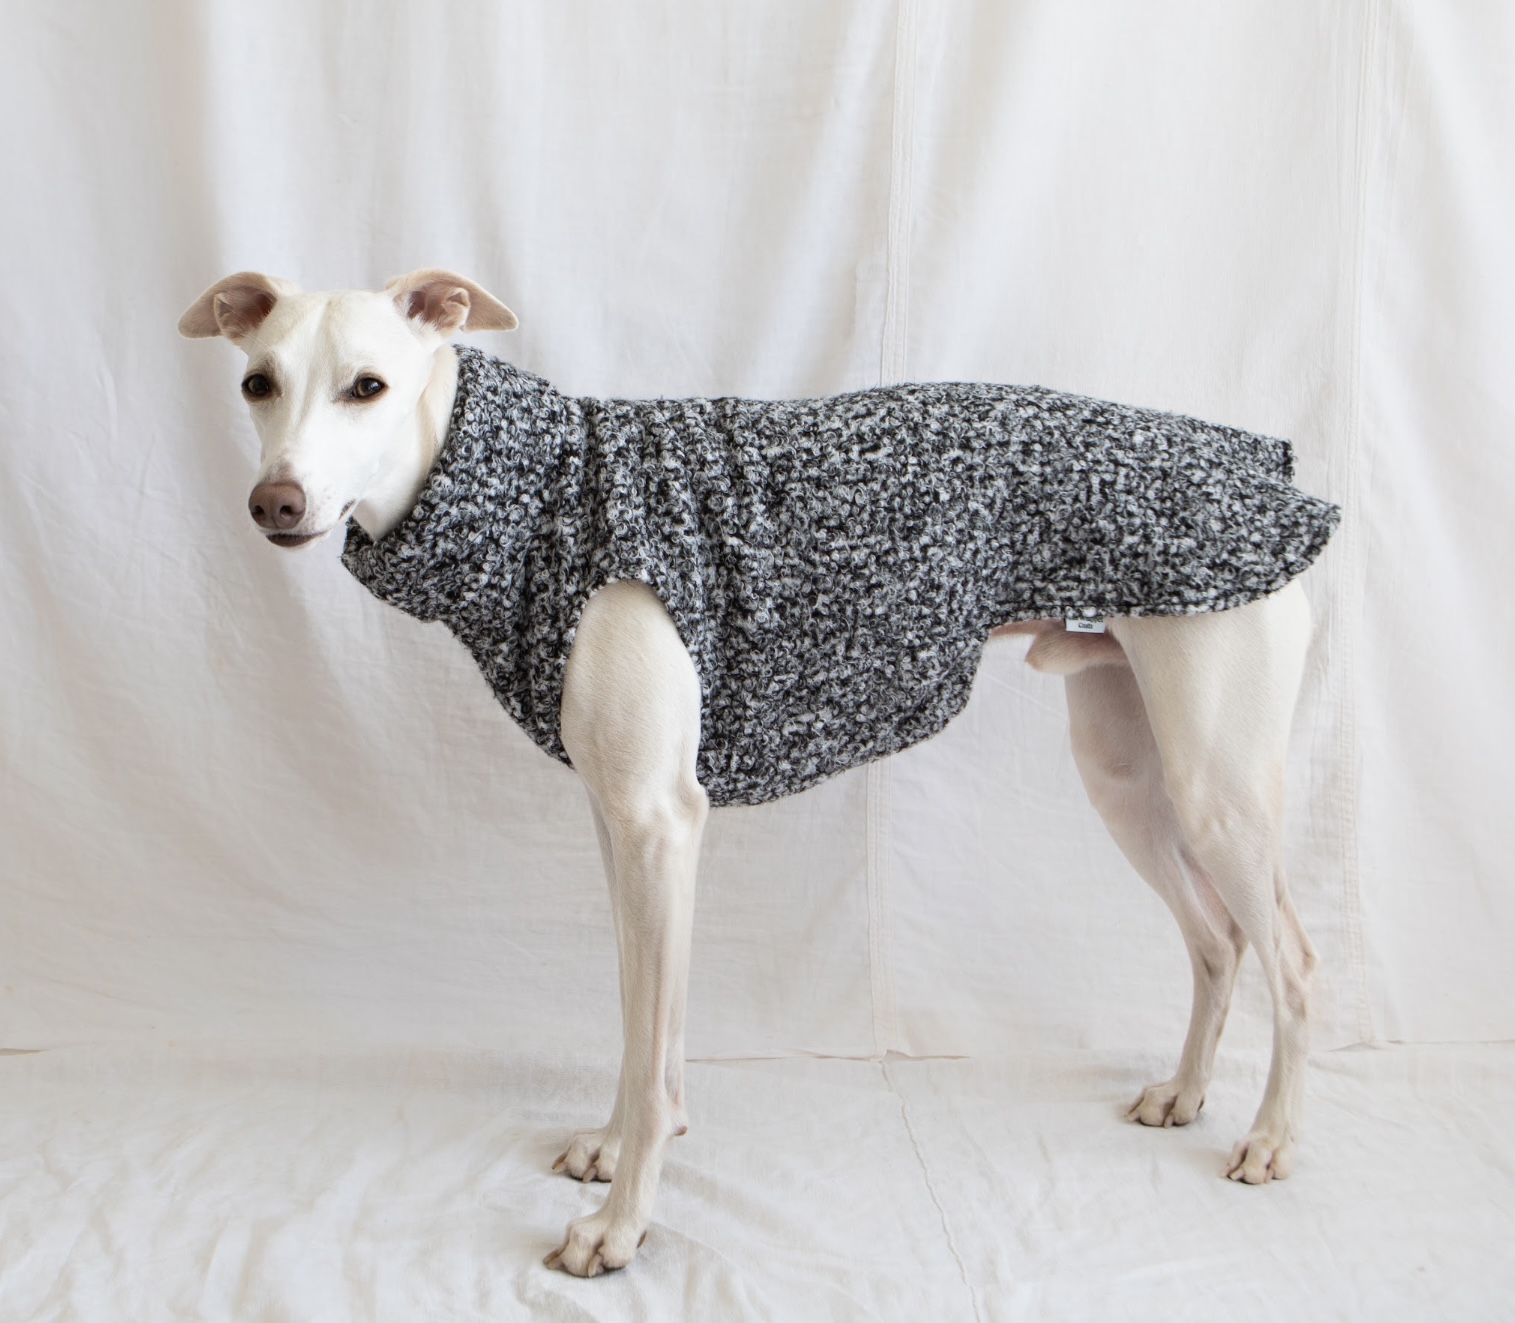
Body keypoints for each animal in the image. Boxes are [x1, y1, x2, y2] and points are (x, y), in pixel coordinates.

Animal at [181, 268, 1334, 1277]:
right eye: (257, 382)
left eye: (367, 385)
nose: (275, 503)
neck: (538, 498)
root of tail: (1264, 465)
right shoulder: (622, 820)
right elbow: (641, 1017)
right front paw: (617, 1149)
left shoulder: (659, 822)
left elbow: (650, 1038)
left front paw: (619, 1228)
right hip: (1127, 773)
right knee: (1218, 940)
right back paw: (1184, 1092)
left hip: (1217, 788)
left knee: (1290, 957)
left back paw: (1274, 1138)